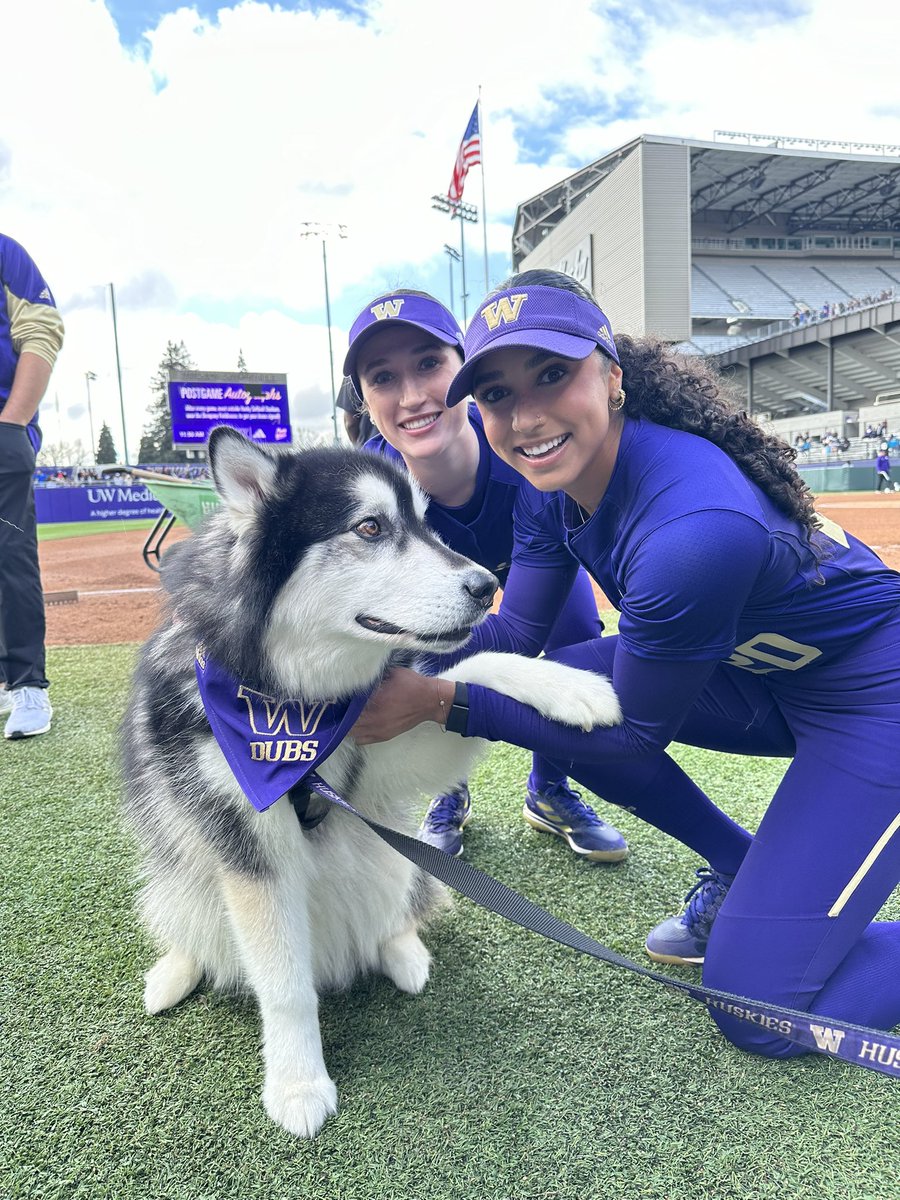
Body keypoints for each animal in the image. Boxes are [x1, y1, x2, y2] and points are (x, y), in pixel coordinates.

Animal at [123, 427, 624, 1137]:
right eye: (370, 527)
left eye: (425, 520)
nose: (485, 584)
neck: (295, 701)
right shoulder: (251, 852)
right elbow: (284, 985)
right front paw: (299, 1084)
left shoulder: (396, 748)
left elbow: (478, 665)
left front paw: (576, 688)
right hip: (181, 877)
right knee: (192, 924)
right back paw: (174, 972)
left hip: (392, 856)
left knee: (395, 907)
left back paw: (403, 955)